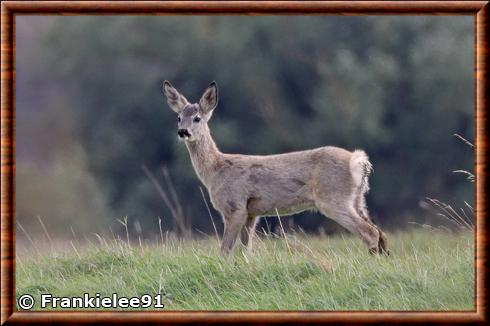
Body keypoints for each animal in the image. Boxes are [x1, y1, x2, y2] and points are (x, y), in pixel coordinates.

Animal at [163, 81, 388, 255]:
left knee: (370, 233)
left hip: (333, 198)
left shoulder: (235, 206)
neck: (215, 170)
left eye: (197, 118)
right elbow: (246, 250)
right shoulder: (252, 213)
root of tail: (358, 161)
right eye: (178, 118)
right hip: (358, 200)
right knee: (381, 233)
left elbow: (225, 250)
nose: (182, 131)